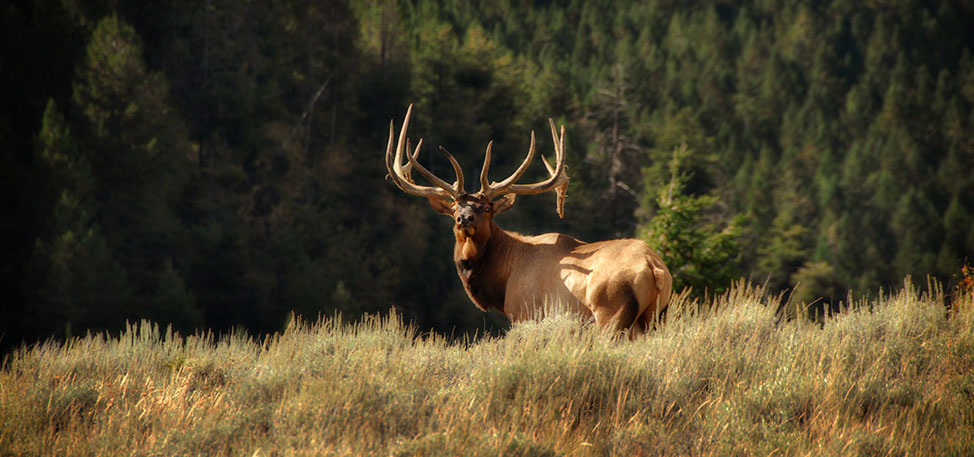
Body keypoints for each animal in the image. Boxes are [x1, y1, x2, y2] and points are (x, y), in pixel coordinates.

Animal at [386, 107, 676, 334]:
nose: (464, 218)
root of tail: (655, 267)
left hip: (611, 312)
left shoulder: (524, 312)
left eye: (487, 208)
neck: (501, 279)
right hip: (654, 319)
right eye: (455, 206)